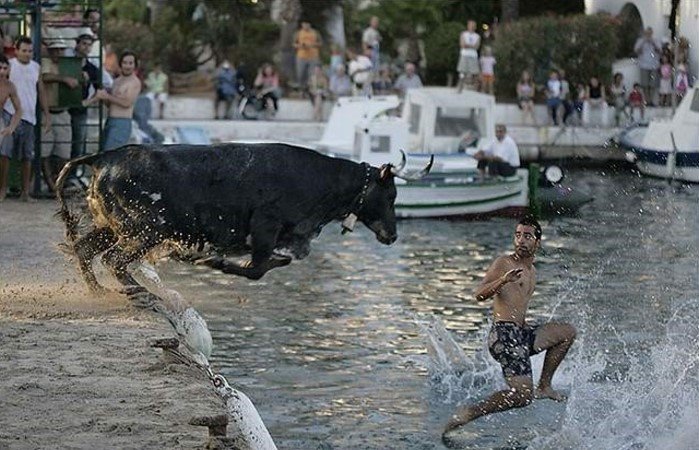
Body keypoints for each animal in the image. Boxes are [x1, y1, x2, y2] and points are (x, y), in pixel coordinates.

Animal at [57, 142, 408, 294]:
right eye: (390, 195)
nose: (392, 235)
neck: (319, 179)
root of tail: (105, 156)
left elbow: (275, 262)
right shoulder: (265, 226)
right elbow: (257, 269)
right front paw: (212, 262)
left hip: (111, 226)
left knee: (85, 250)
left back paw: (99, 291)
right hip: (148, 229)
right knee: (114, 259)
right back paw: (137, 290)